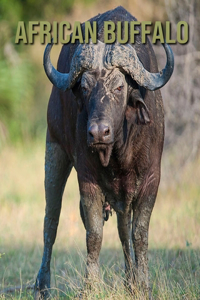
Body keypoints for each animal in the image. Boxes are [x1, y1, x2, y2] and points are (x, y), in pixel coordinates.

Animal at [34, 5, 173, 298]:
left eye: (120, 87)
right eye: (85, 88)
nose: (98, 132)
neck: (117, 151)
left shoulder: (151, 178)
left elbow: (138, 234)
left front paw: (141, 284)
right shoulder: (87, 179)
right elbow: (94, 233)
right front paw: (90, 286)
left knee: (122, 229)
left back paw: (130, 280)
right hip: (54, 148)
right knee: (51, 220)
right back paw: (42, 285)